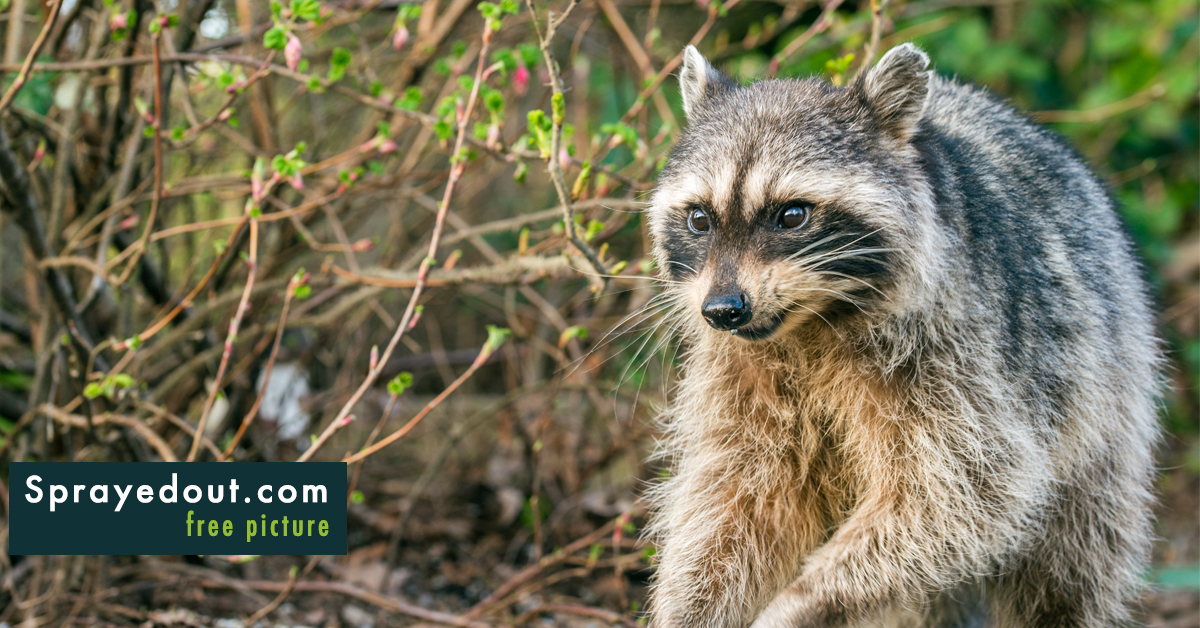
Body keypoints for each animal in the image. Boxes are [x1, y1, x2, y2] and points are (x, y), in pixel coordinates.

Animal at [643, 44, 1162, 627]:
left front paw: (804, 601)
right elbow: (736, 504)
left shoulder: (954, 351)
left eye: (792, 215)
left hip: (1100, 390)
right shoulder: (738, 373)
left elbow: (962, 496)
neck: (811, 324)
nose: (723, 310)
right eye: (699, 219)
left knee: (1072, 560)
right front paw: (693, 609)